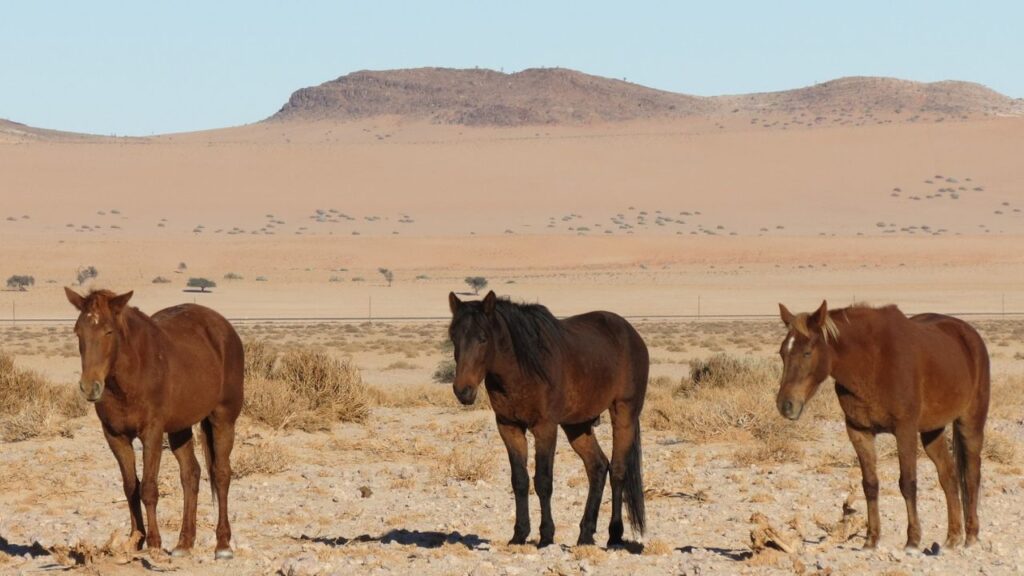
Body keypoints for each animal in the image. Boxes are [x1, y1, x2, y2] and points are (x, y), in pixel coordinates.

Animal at [64, 288, 244, 559]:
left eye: (108, 331)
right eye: (78, 331)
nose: (89, 387)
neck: (130, 376)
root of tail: (224, 328)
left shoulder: (152, 433)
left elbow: (148, 489)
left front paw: (154, 543)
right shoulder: (115, 437)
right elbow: (131, 487)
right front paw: (135, 541)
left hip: (222, 419)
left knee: (221, 474)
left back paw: (222, 545)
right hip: (180, 428)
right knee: (191, 475)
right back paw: (184, 543)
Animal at [447, 291, 649, 548]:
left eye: (483, 338)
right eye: (454, 337)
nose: (463, 391)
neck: (521, 369)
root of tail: (632, 334)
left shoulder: (545, 427)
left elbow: (543, 481)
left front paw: (546, 536)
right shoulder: (509, 427)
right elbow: (520, 480)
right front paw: (519, 534)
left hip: (624, 414)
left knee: (618, 472)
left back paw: (614, 535)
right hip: (577, 425)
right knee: (597, 466)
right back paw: (585, 534)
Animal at [775, 301, 989, 551]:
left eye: (807, 352)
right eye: (782, 352)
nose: (785, 405)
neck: (872, 362)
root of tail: (969, 334)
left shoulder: (905, 430)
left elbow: (907, 483)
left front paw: (912, 540)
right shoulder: (859, 431)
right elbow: (870, 484)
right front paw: (871, 539)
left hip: (970, 423)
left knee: (972, 475)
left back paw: (971, 536)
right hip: (932, 431)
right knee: (948, 475)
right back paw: (953, 537)